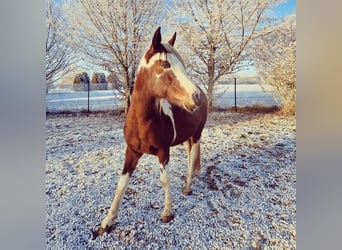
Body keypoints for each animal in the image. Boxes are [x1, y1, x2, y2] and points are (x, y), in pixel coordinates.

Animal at [93, 26, 207, 237]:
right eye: (165, 63)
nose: (195, 97)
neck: (142, 121)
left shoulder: (163, 151)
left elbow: (164, 179)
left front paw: (167, 213)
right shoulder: (131, 152)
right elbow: (121, 184)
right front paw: (107, 222)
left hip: (196, 135)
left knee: (193, 157)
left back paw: (188, 187)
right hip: (187, 137)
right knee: (190, 155)